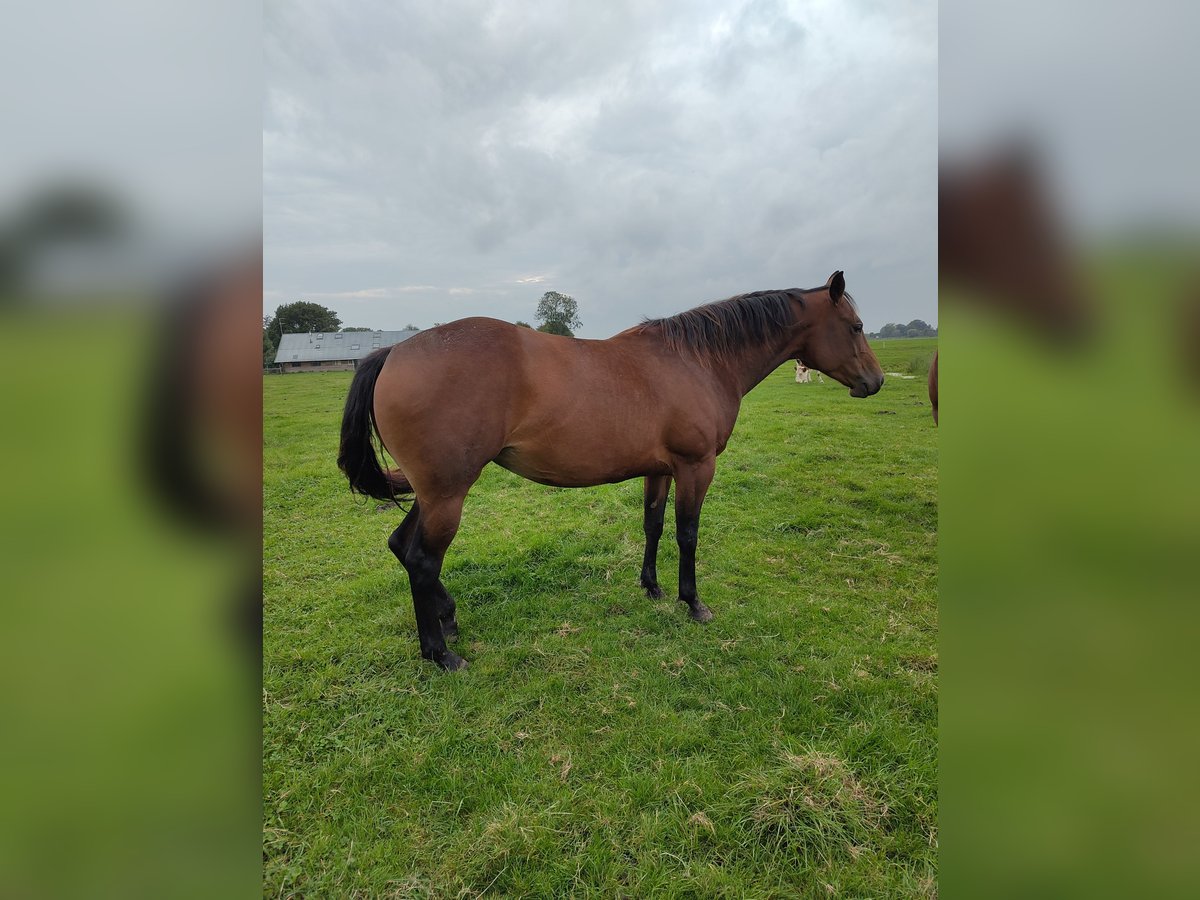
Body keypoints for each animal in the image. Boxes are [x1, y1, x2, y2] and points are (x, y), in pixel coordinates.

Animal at [338, 267, 883, 672]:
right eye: (856, 327)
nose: (875, 382)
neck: (698, 361)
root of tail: (394, 352)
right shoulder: (696, 468)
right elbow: (687, 533)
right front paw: (693, 603)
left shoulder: (660, 470)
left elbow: (653, 524)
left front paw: (652, 587)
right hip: (448, 493)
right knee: (422, 560)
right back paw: (440, 653)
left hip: (432, 493)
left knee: (402, 548)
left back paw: (447, 619)